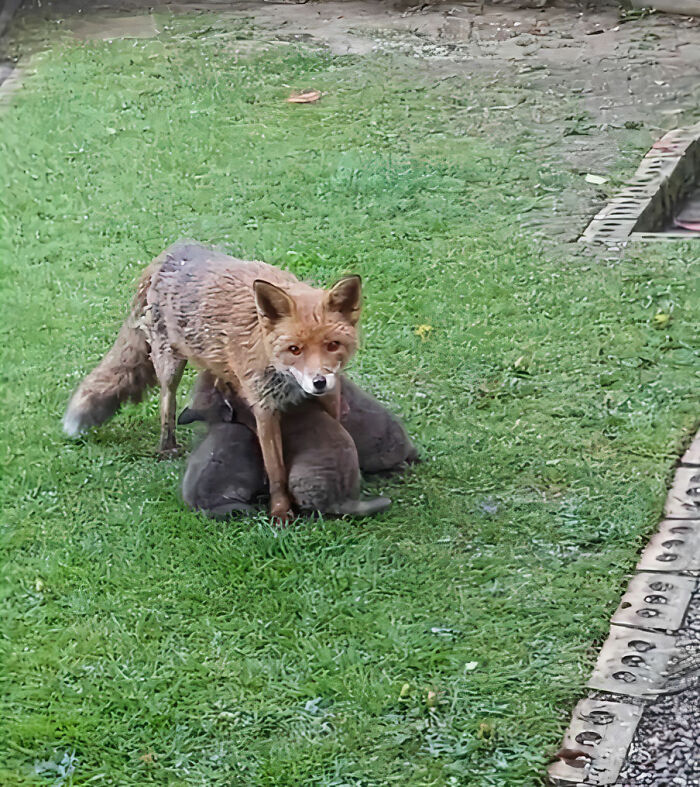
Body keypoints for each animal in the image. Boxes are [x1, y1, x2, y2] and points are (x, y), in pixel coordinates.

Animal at [62, 240, 362, 521]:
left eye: (332, 345)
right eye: (294, 349)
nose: (319, 382)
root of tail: (170, 252)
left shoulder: (329, 396)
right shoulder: (264, 407)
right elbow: (276, 470)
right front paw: (280, 513)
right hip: (170, 366)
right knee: (167, 404)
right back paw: (167, 448)